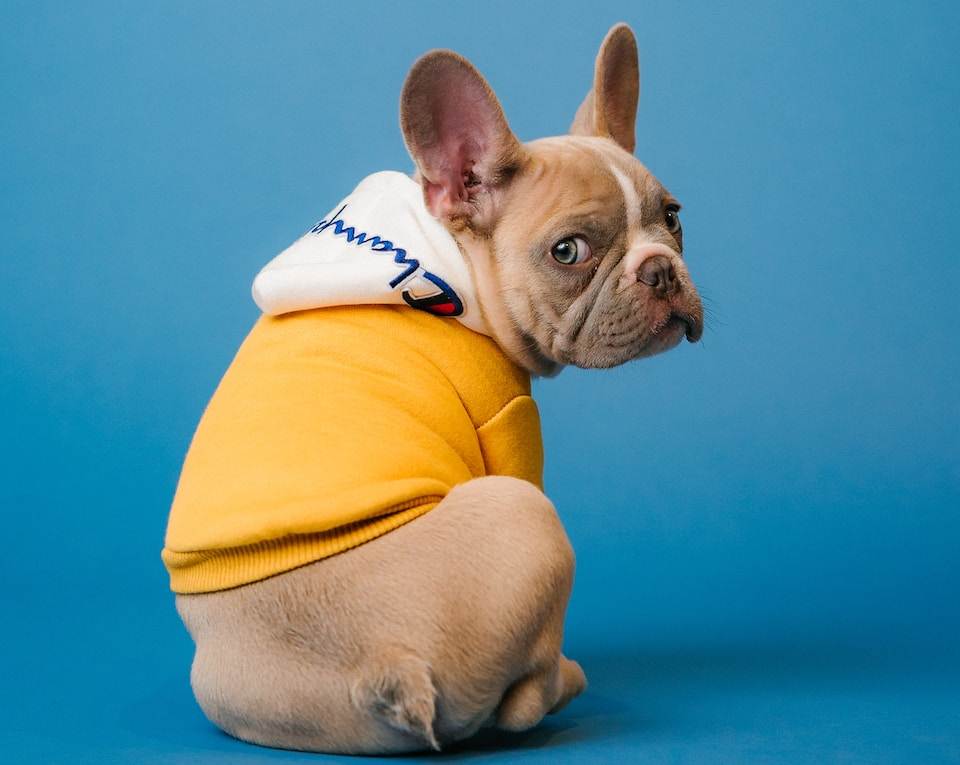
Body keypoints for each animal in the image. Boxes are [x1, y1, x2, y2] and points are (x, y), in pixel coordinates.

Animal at [163, 22, 704, 752]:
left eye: (673, 218)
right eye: (569, 252)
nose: (661, 269)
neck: (455, 264)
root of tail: (383, 663)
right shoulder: (508, 423)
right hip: (524, 516)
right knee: (519, 700)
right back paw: (563, 680)